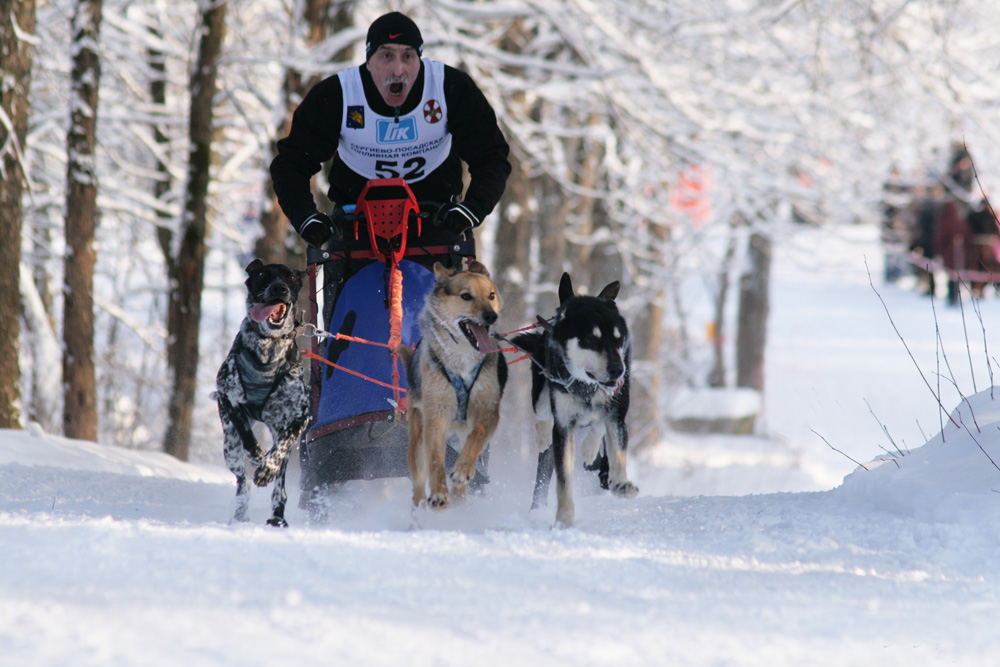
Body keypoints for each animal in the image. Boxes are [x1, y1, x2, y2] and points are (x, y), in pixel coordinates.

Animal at [216, 260, 310, 528]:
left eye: (290, 277)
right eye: (261, 274)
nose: (279, 288)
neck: (269, 348)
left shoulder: (301, 415)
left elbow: (283, 443)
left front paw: (267, 466)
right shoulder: (230, 400)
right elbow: (249, 439)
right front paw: (259, 457)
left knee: (280, 487)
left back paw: (277, 516)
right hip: (230, 446)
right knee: (242, 481)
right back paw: (241, 513)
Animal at [512, 272, 636, 528]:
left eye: (618, 339)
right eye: (592, 340)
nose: (618, 370)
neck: (586, 385)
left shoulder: (616, 415)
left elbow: (613, 443)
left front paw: (619, 480)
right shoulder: (564, 426)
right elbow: (563, 479)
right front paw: (564, 519)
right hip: (542, 384)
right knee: (543, 413)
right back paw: (542, 435)